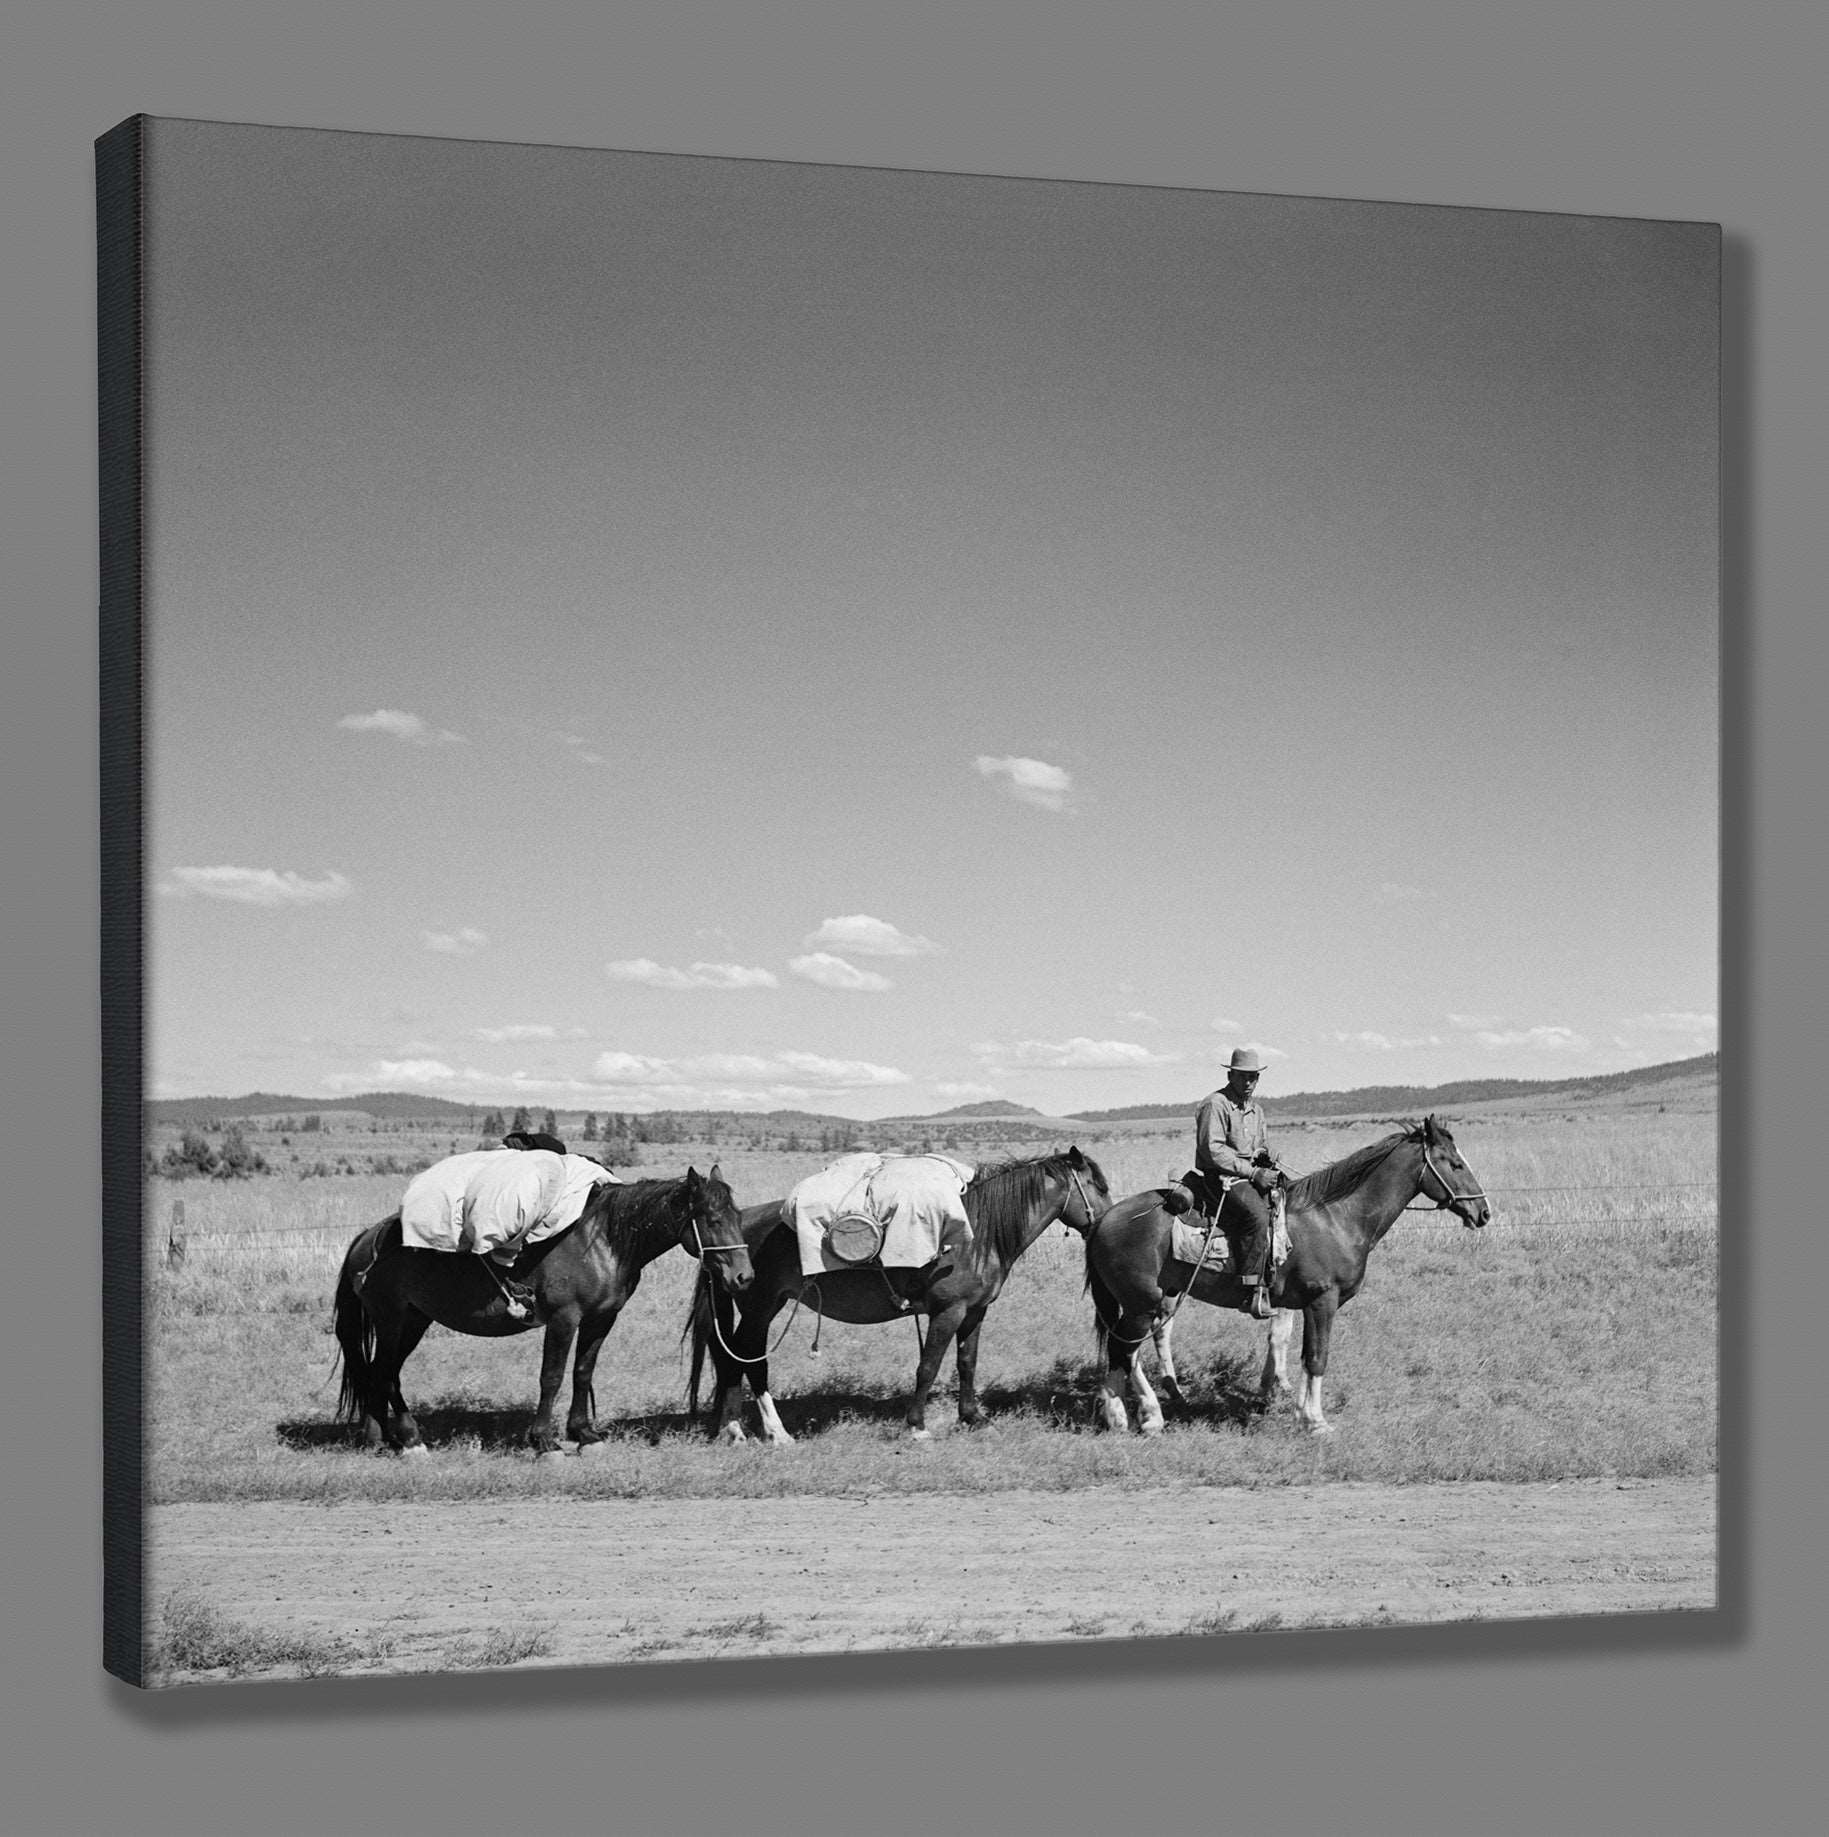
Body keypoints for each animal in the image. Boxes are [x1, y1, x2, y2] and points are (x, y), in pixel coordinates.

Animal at [334, 1168, 749, 1454]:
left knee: (380, 1372)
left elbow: (582, 1372)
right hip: (391, 1320)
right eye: (713, 1220)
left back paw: (381, 1439)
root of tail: (367, 1237)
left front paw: (585, 1435)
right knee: (386, 1373)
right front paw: (544, 1441)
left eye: (738, 1217)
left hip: (414, 1320)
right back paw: (409, 1440)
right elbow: (551, 1377)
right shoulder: (564, 1319)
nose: (744, 1277)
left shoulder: (600, 1319)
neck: (602, 1241)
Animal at [686, 1146, 1116, 1432]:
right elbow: (928, 1366)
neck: (976, 1234)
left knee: (736, 1357)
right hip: (759, 1307)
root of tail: (733, 1232)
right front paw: (916, 1425)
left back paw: (735, 1426)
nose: (1108, 1220)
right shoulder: (947, 1312)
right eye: (1098, 1185)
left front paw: (973, 1418)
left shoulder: (975, 1311)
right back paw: (741, 1429)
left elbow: (967, 1362)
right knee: (741, 1358)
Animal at [1087, 1116, 1483, 1432]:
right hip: (1142, 1304)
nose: (1483, 1212)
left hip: (1152, 1301)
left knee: (1126, 1351)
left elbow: (1300, 1353)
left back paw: (1127, 1414)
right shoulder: (1323, 1300)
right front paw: (1316, 1421)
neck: (1337, 1218)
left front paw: (1299, 1411)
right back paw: (1136, 1416)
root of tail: (1105, 1219)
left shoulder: (1304, 1304)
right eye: (1455, 1164)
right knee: (1126, 1352)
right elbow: (1318, 1357)